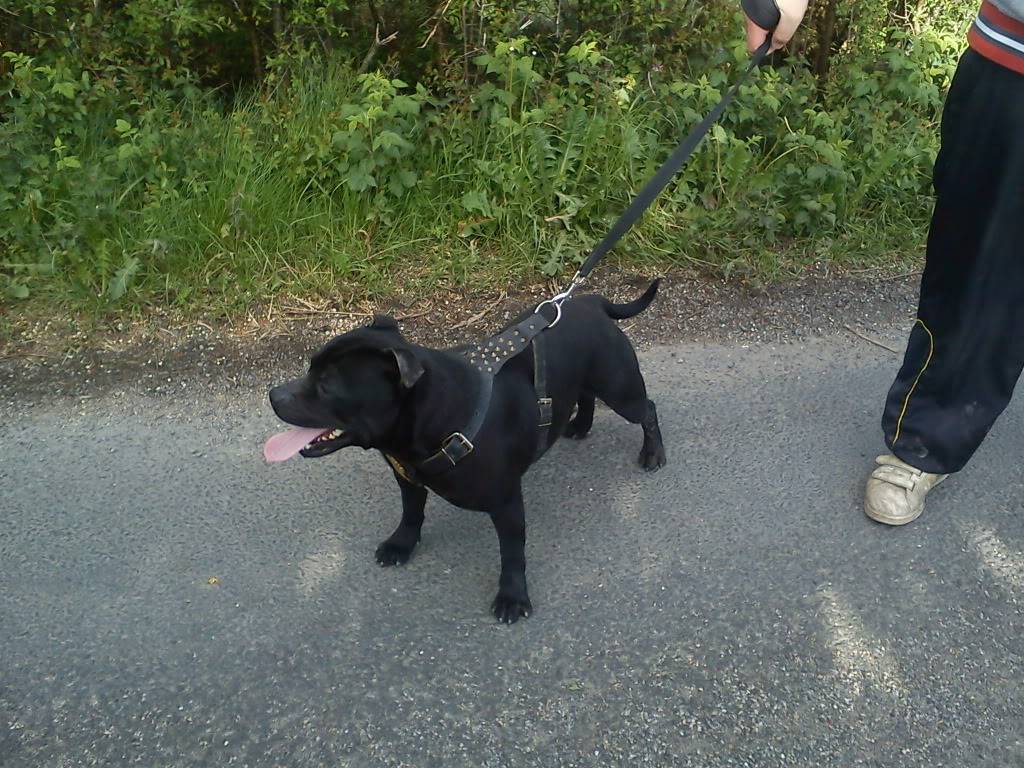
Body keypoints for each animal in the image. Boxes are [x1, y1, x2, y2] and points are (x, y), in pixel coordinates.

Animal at [266, 282, 663, 626]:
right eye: (309, 367)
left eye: (326, 386)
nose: (273, 395)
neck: (437, 416)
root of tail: (593, 302)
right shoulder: (407, 479)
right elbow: (411, 513)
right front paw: (401, 545)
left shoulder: (506, 504)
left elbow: (512, 553)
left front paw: (512, 597)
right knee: (585, 395)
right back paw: (580, 425)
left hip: (620, 389)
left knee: (647, 410)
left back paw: (653, 452)